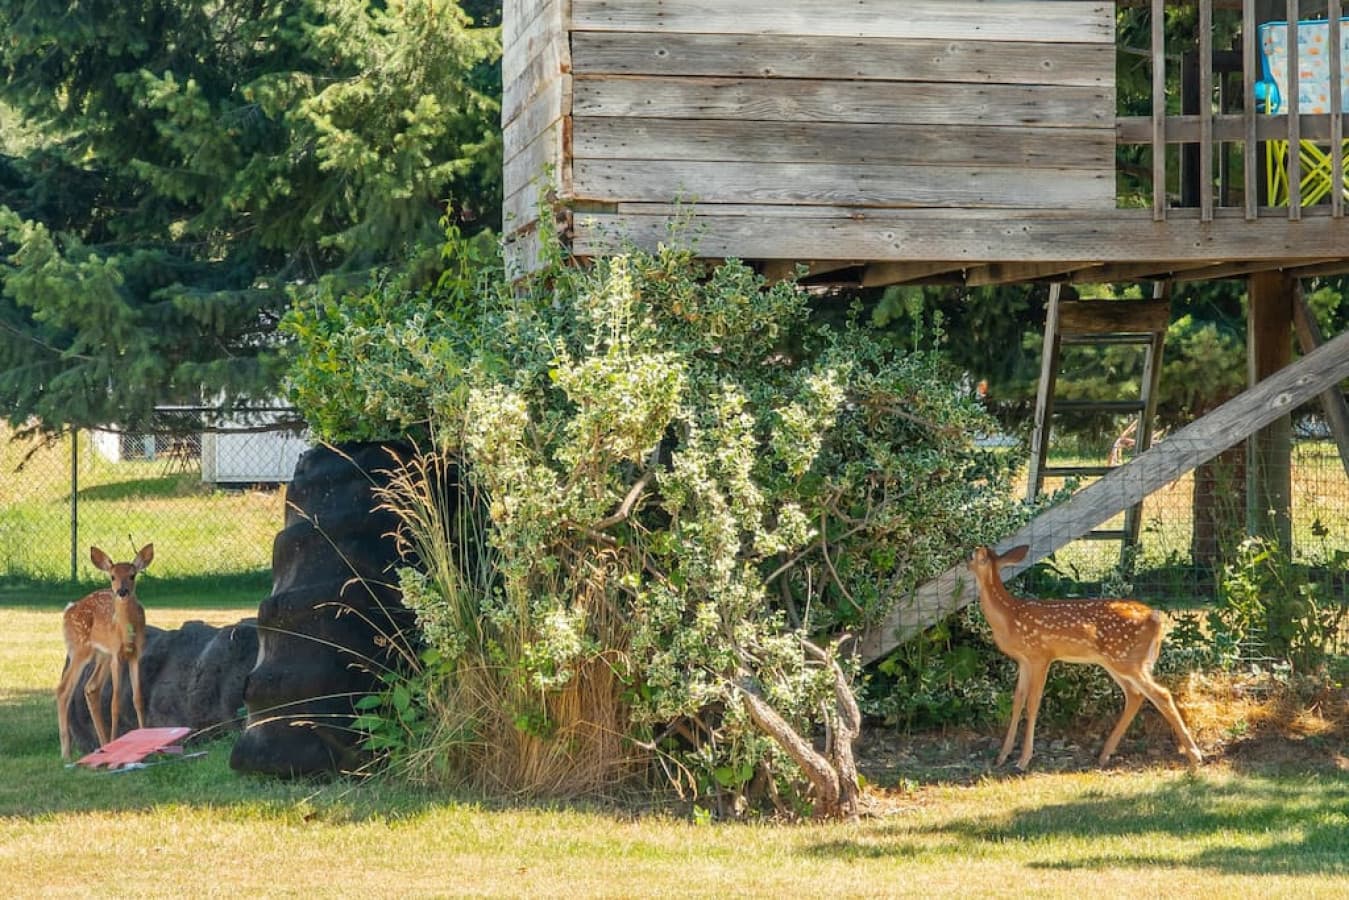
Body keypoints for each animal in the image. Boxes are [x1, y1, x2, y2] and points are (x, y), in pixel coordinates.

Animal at [56, 544, 153, 760]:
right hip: (80, 649)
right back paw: (66, 753)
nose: (122, 591)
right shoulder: (116, 655)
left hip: (101, 655)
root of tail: (68, 610)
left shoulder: (136, 654)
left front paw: (144, 733)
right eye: (112, 576)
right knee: (63, 689)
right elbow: (115, 702)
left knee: (91, 687)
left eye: (133, 575)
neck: (125, 632)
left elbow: (138, 698)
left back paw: (103, 743)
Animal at [968, 544, 1203, 770]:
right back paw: (1104, 755)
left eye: (971, 556)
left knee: (1161, 694)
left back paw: (1194, 756)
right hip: (1118, 661)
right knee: (1135, 695)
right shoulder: (1023, 661)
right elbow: (1018, 701)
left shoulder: (1041, 655)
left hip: (1127, 660)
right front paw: (1002, 756)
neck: (1009, 617)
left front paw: (1023, 760)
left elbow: (1033, 703)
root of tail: (1156, 619)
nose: (963, 563)